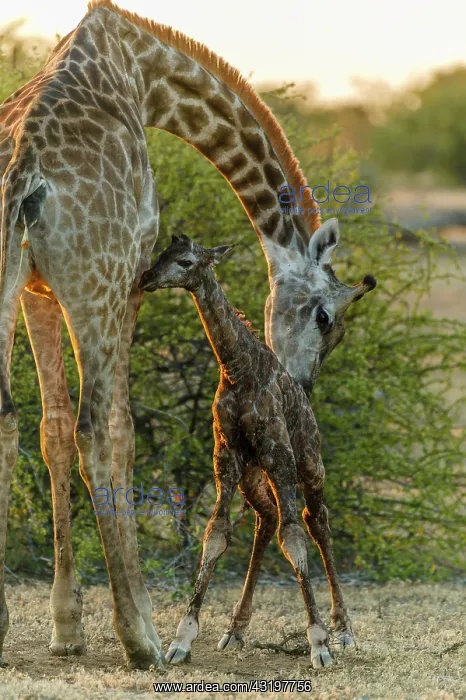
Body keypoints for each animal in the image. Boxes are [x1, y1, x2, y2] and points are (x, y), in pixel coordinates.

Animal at [140, 233, 374, 668]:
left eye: (185, 261)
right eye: (161, 254)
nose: (146, 278)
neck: (238, 368)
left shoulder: (279, 452)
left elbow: (294, 537)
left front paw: (319, 644)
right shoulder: (226, 456)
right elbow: (216, 534)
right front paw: (181, 639)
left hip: (309, 463)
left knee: (317, 522)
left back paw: (344, 630)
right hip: (253, 475)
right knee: (266, 520)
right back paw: (235, 629)